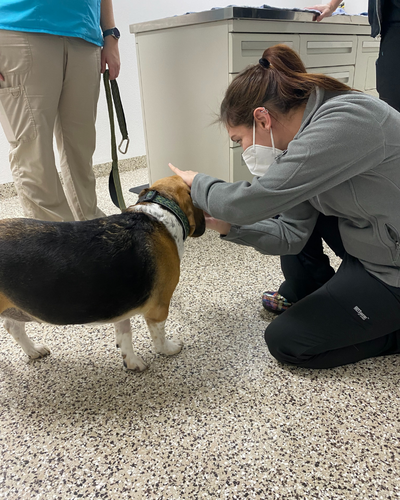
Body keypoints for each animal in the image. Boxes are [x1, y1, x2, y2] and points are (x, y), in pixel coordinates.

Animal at [0, 176, 205, 372]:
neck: (159, 214)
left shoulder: (120, 305)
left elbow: (125, 335)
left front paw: (132, 362)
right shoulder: (158, 309)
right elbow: (159, 338)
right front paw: (169, 349)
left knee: (13, 327)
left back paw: (33, 350)